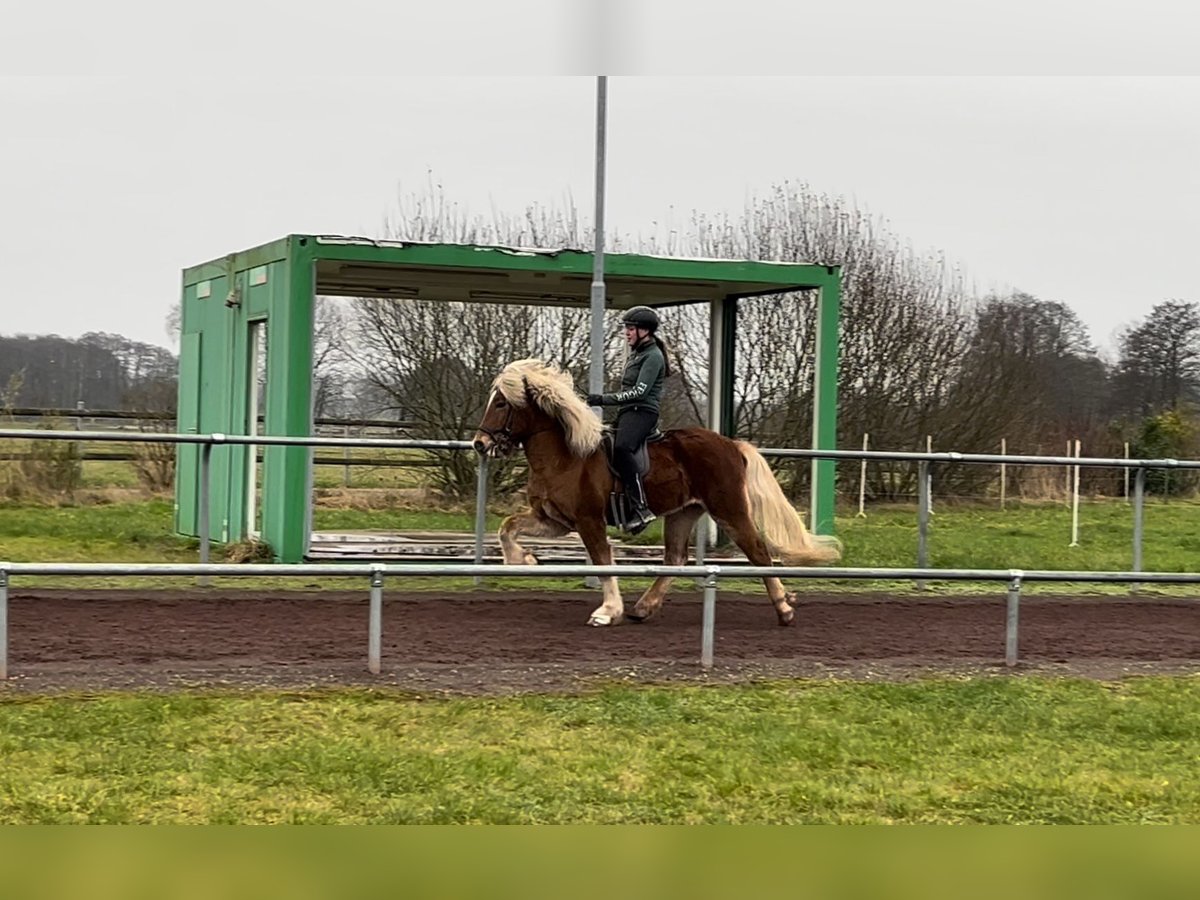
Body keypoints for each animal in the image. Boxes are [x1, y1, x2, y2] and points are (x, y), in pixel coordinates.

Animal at [470, 357, 844, 628]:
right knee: (675, 559)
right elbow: (507, 527)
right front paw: (522, 559)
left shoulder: (589, 521)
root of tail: (732, 445)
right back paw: (643, 608)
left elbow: (603, 561)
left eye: (501, 403)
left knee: (759, 553)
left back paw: (784, 609)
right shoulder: (554, 520)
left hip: (730, 510)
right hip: (683, 513)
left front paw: (607, 611)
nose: (480, 443)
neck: (566, 456)